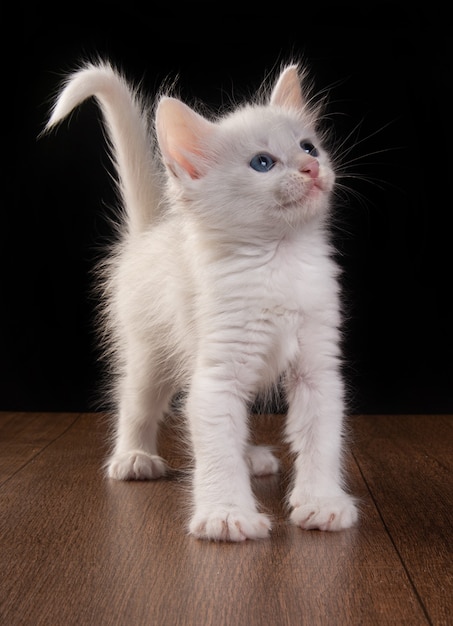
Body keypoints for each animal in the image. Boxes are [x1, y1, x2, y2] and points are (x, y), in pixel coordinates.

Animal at [46, 58, 356, 540]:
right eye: (262, 163)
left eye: (309, 147)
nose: (310, 167)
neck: (279, 259)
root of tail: (152, 231)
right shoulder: (216, 372)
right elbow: (214, 446)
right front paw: (226, 514)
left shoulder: (318, 369)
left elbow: (320, 438)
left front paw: (322, 504)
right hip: (149, 351)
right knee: (136, 402)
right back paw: (133, 457)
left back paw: (251, 458)